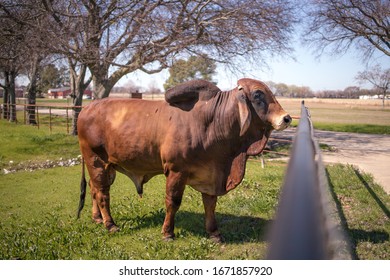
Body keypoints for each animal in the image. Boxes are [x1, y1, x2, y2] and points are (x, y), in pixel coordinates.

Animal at [77, 77, 290, 242]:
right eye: (257, 94)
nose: (286, 118)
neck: (213, 120)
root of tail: (86, 109)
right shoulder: (176, 171)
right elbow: (173, 202)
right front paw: (167, 233)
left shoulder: (211, 174)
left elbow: (210, 203)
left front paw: (214, 233)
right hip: (96, 160)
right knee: (102, 193)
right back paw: (110, 224)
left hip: (108, 166)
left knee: (95, 189)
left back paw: (97, 218)